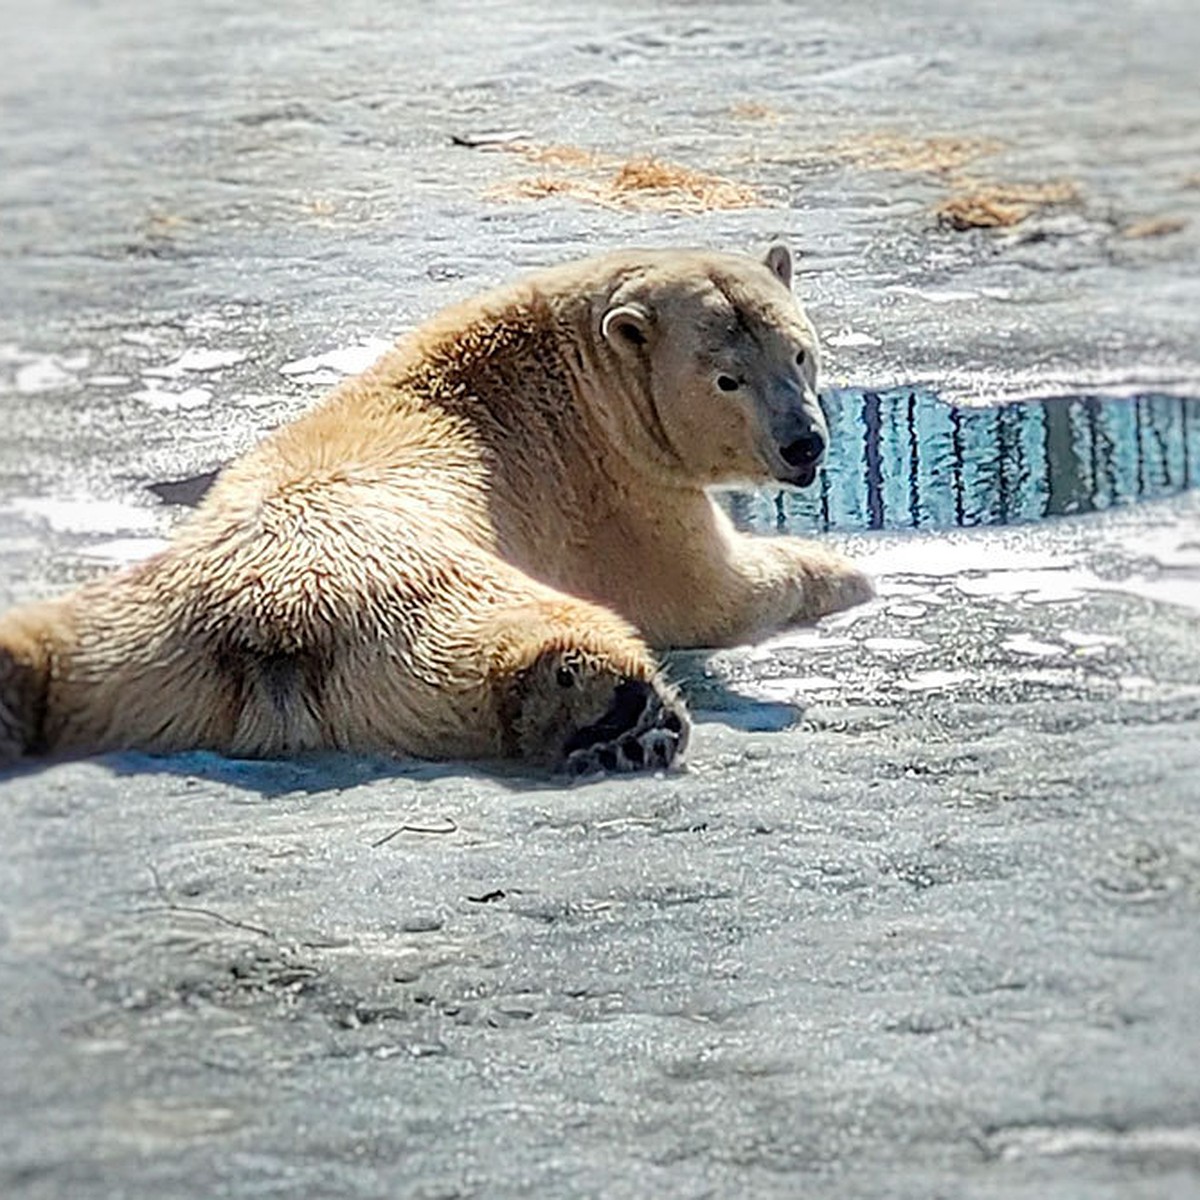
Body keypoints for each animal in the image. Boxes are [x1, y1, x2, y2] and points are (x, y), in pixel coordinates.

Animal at [0, 244, 868, 772]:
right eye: (728, 378)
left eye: (800, 351)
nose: (806, 445)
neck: (570, 368)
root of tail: (265, 636)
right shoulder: (615, 486)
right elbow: (705, 594)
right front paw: (847, 573)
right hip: (413, 590)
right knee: (510, 631)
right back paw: (605, 706)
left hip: (139, 635)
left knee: (63, 647)